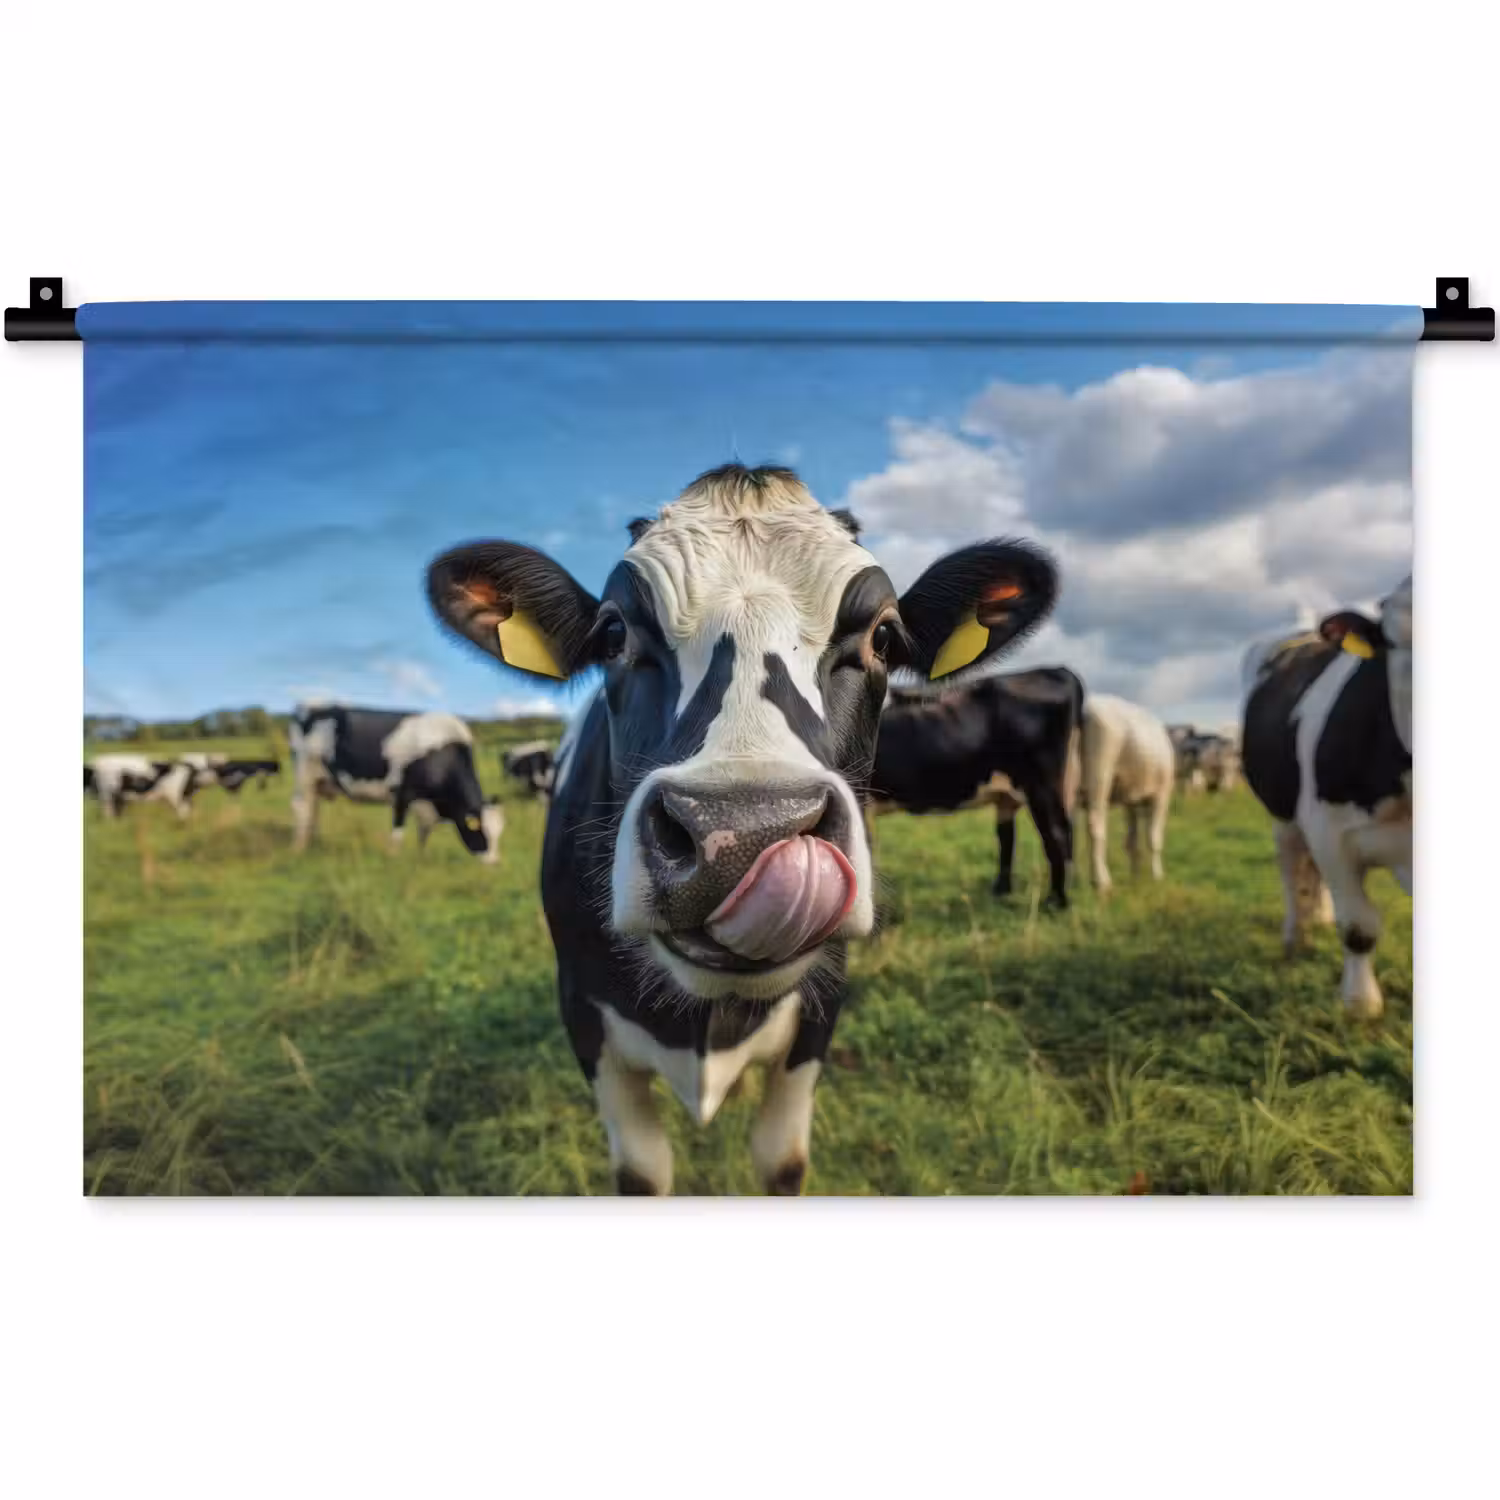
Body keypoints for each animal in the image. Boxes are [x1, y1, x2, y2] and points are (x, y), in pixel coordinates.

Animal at [288, 704, 503, 862]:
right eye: (482, 832)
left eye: (499, 833)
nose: (494, 863)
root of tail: (312, 707)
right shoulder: (402, 794)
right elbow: (398, 832)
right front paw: (393, 858)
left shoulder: (427, 806)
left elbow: (424, 834)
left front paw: (421, 859)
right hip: (304, 775)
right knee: (302, 808)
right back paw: (298, 847)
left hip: (318, 782)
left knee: (313, 809)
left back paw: (314, 843)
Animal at [426, 463, 1059, 1195]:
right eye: (614, 634)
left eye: (883, 637)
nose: (741, 835)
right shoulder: (584, 1017)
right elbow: (642, 1170)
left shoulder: (819, 1013)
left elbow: (781, 1160)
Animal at [867, 667, 1083, 907]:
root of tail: (1058, 670)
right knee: (1019, 835)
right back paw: (1004, 892)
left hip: (1041, 784)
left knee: (1056, 833)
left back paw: (1055, 901)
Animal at [1079, 694, 1175, 892]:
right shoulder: (1162, 796)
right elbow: (1154, 838)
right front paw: (1157, 876)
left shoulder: (1131, 801)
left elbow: (1132, 841)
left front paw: (1135, 877)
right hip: (1099, 775)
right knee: (1095, 826)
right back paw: (1101, 881)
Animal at [1240, 575, 1412, 1018]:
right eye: (1399, 642)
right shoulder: (1330, 832)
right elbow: (1358, 926)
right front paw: (1360, 1003)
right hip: (1284, 813)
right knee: (1292, 870)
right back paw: (1297, 934)